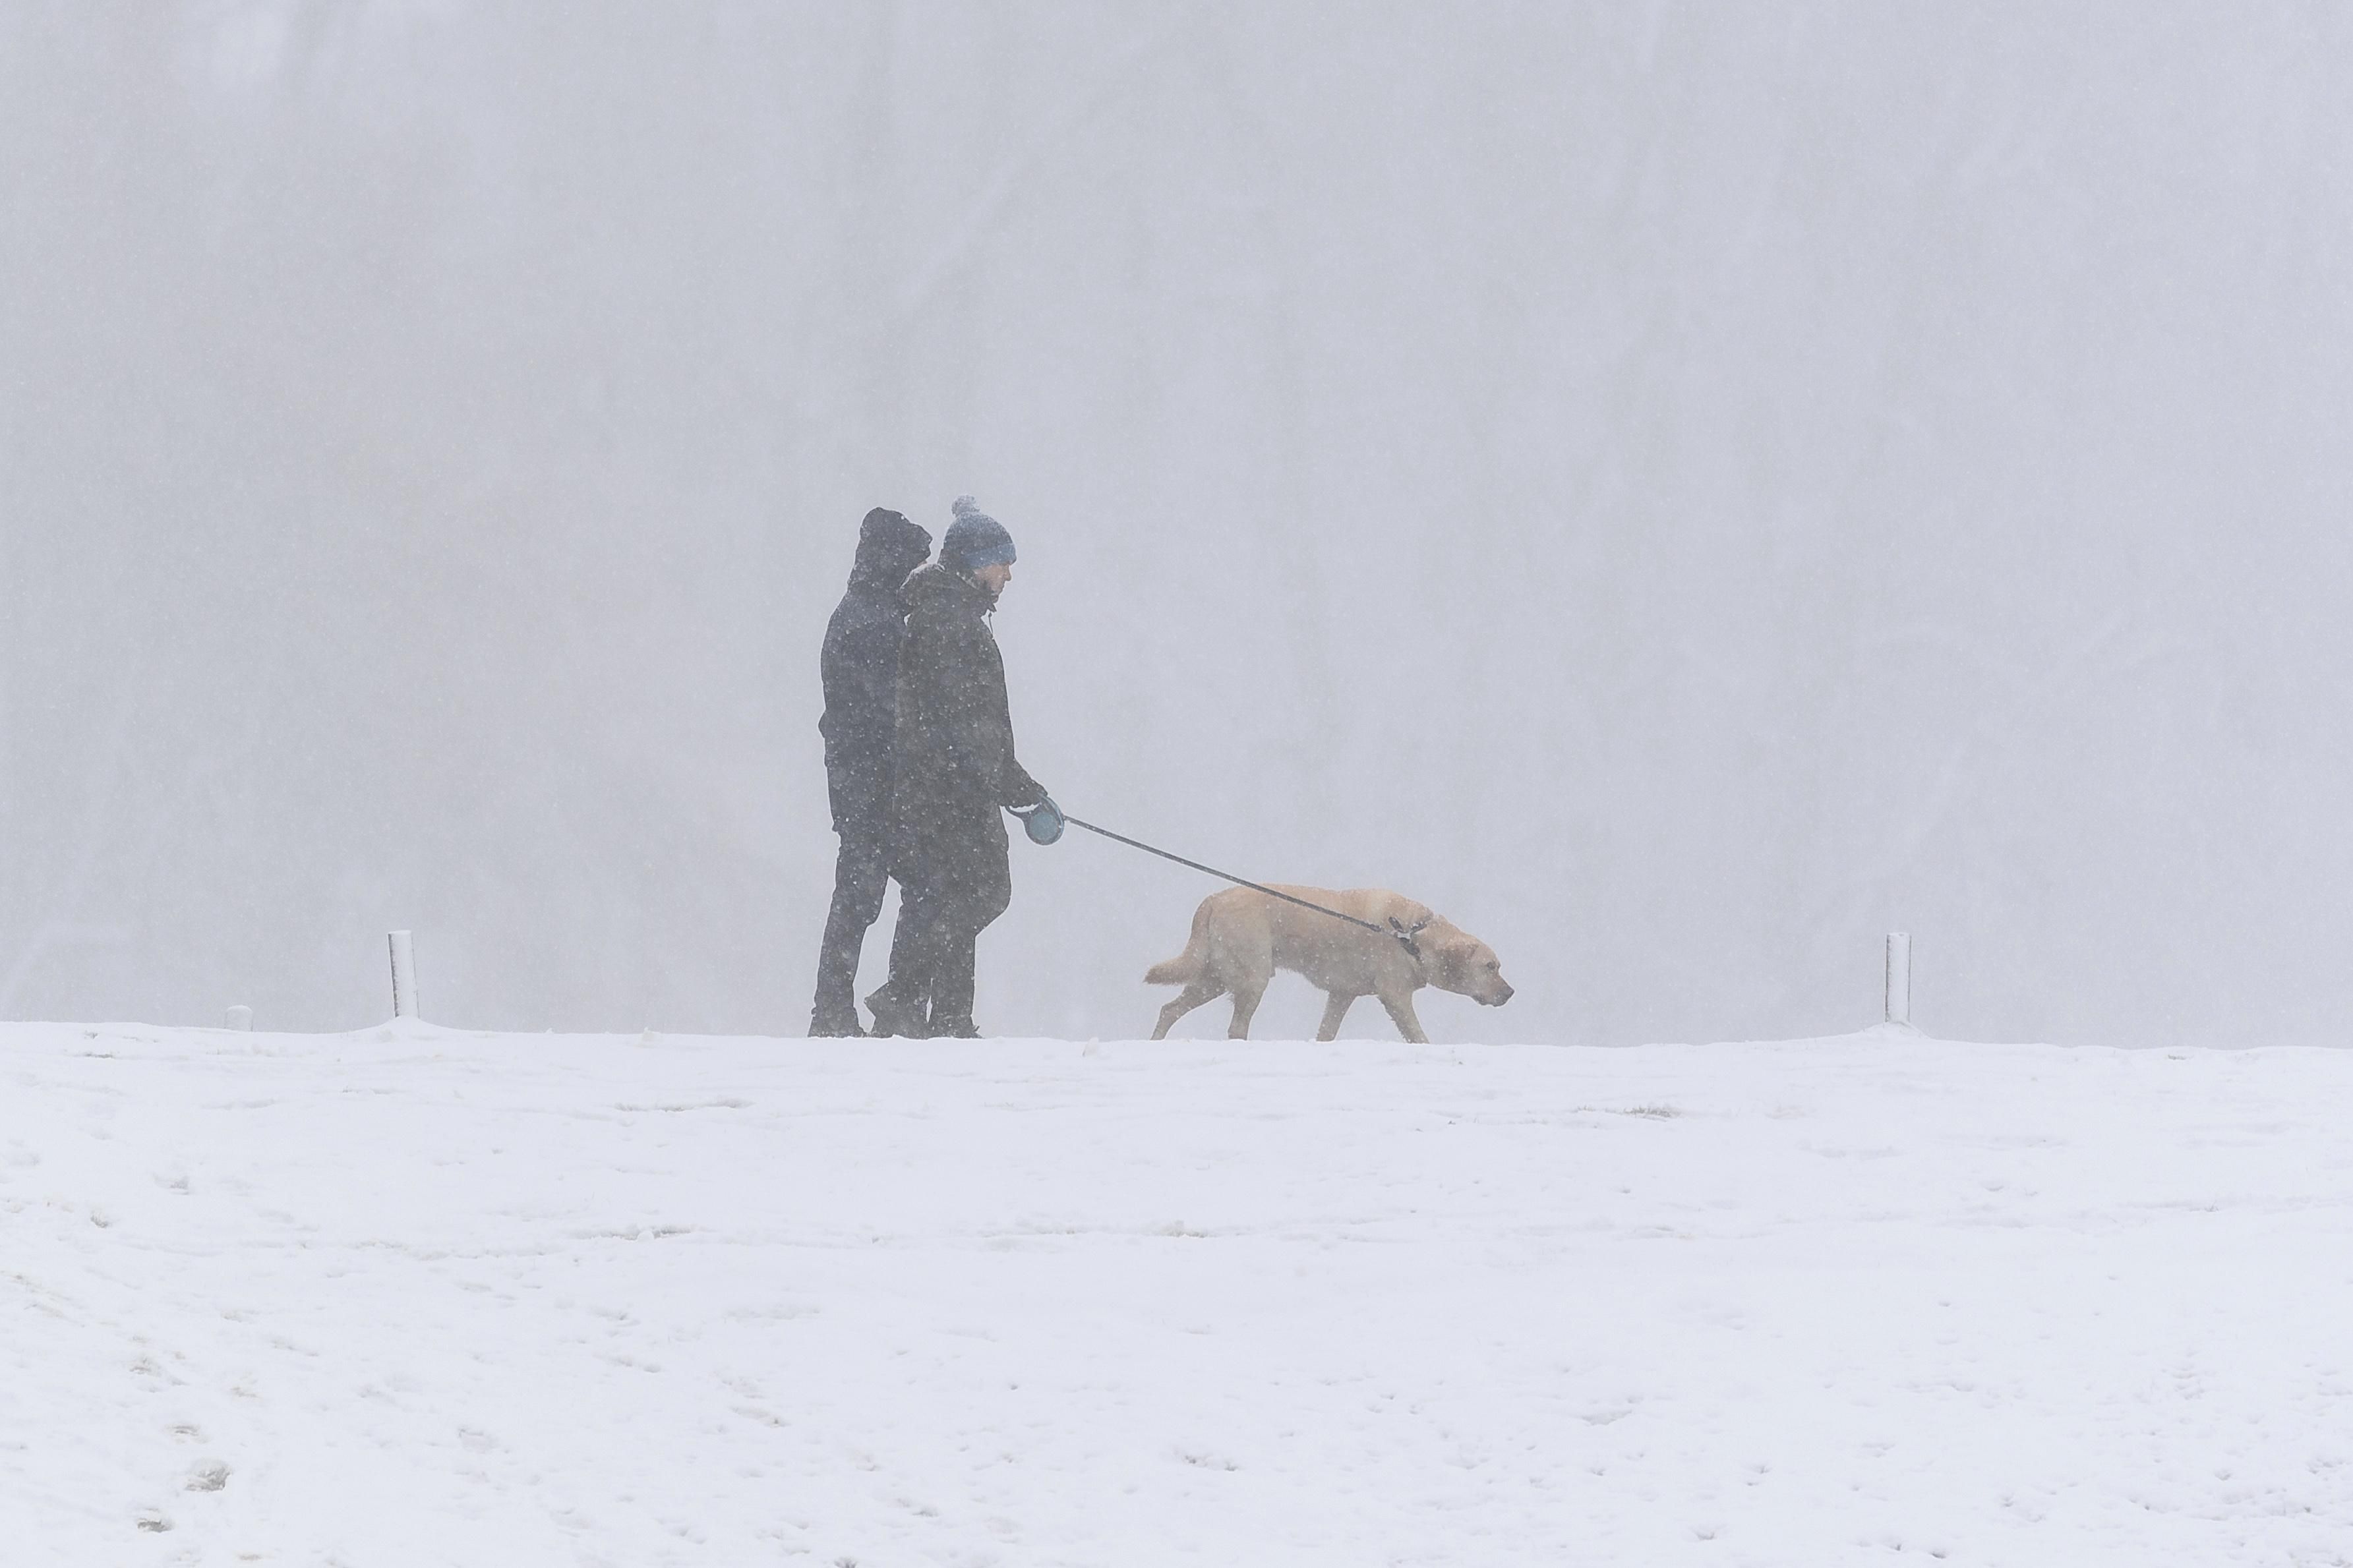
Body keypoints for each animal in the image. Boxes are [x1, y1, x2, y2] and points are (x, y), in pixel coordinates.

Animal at [1148, 884, 1515, 1043]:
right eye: (1490, 967)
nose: (1511, 993)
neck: (1413, 934)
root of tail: (1215, 898)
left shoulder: (1341, 995)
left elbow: (1327, 1033)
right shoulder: (1395, 996)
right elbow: (1418, 1035)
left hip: (1213, 977)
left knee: (1169, 1009)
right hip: (1251, 979)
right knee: (1236, 1027)